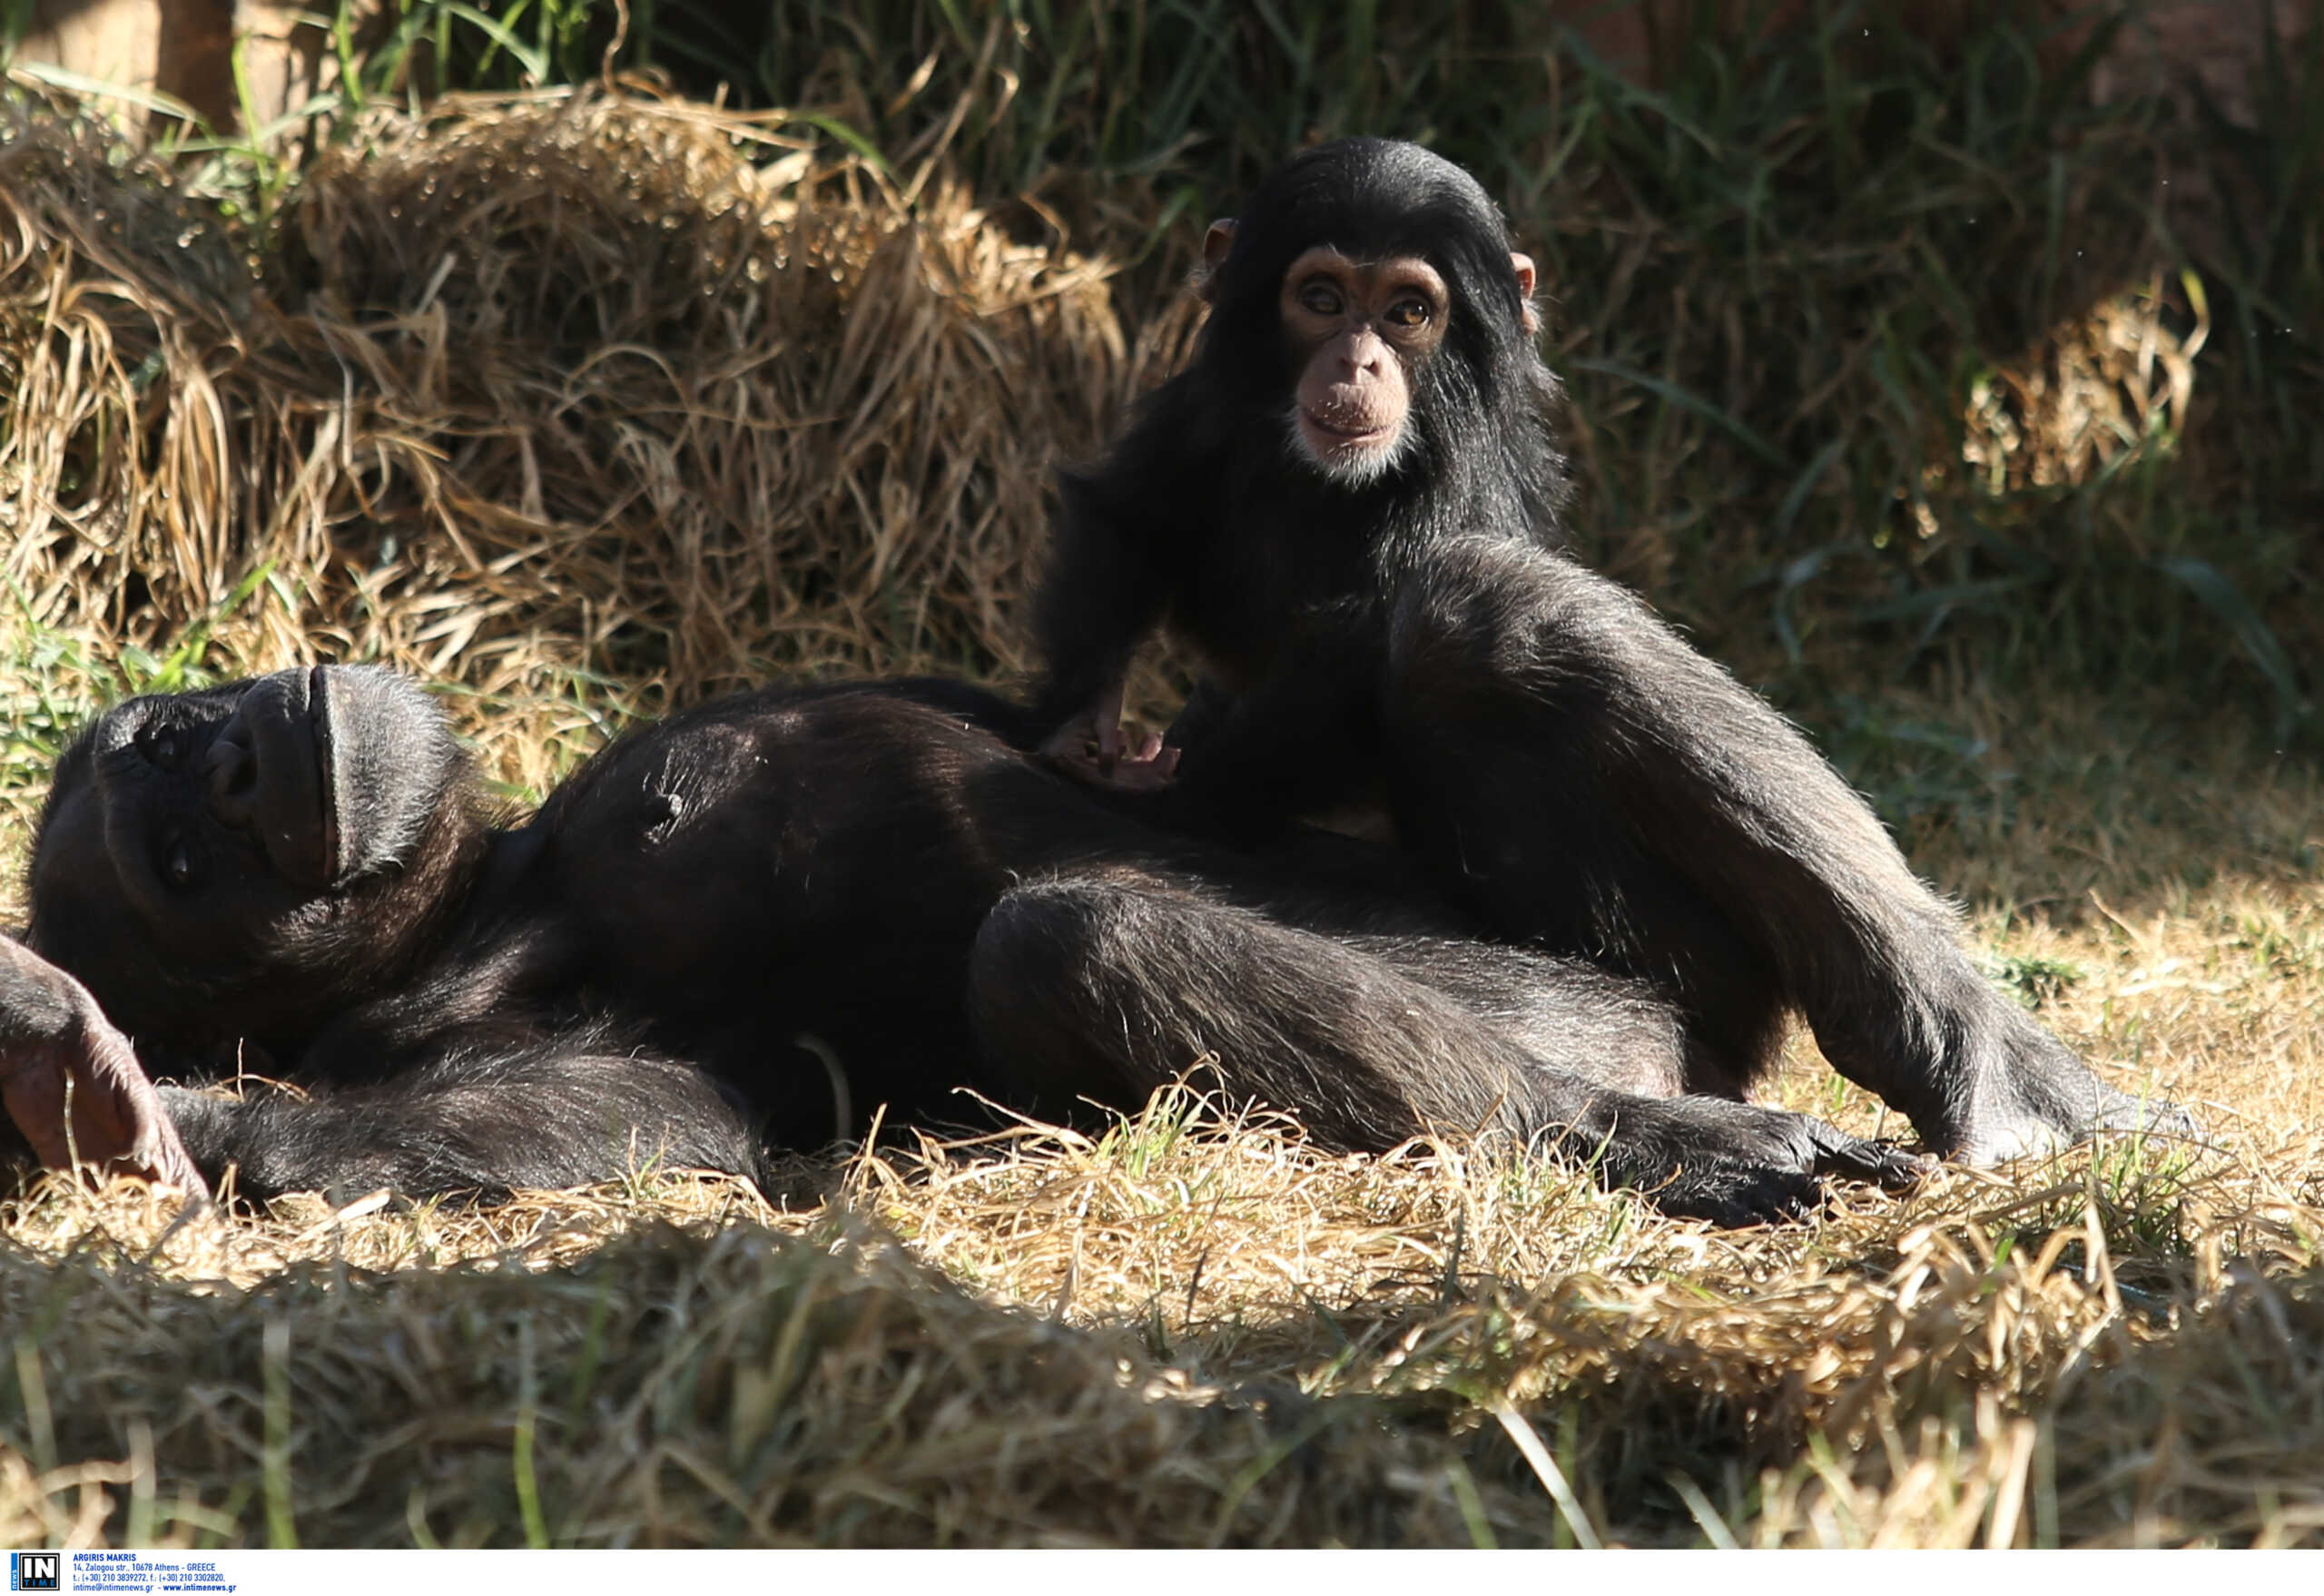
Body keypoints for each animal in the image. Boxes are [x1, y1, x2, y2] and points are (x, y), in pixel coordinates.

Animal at [0, 659, 1952, 1227]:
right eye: (180, 855)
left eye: (167, 743)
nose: (232, 754)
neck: (502, 875)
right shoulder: (454, 1026)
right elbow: (656, 1109)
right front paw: (162, 1110)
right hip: (1603, 1006)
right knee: (1063, 937)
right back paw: (1658, 1133)